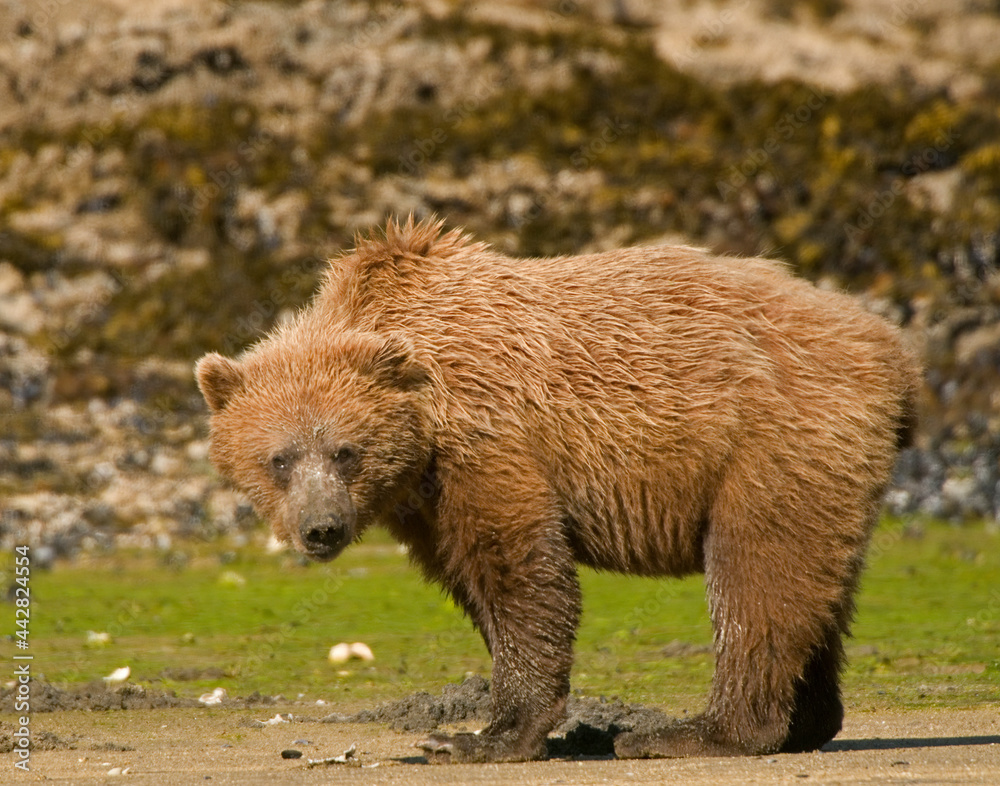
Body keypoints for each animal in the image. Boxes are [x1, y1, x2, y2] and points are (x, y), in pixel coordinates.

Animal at [196, 216, 920, 762]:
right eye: (279, 458)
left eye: (345, 452)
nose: (322, 527)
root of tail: (892, 348)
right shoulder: (427, 501)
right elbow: (472, 580)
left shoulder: (489, 442)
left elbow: (522, 573)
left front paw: (481, 736)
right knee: (816, 583)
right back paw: (807, 721)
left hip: (773, 437)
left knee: (757, 573)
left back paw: (695, 731)